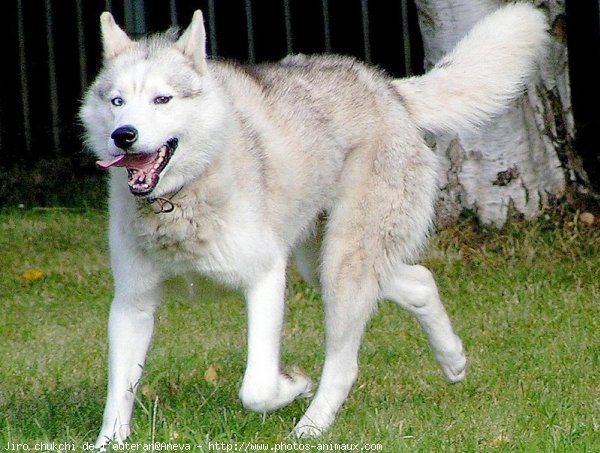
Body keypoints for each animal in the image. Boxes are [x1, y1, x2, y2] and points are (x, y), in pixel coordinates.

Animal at [81, 3, 548, 446]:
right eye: (117, 102)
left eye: (162, 100)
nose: (123, 135)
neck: (179, 202)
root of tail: (390, 89)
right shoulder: (132, 305)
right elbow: (118, 395)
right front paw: (109, 443)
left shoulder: (266, 278)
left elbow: (257, 388)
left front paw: (294, 384)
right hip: (320, 265)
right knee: (420, 280)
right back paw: (453, 362)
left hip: (342, 269)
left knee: (344, 365)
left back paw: (311, 427)